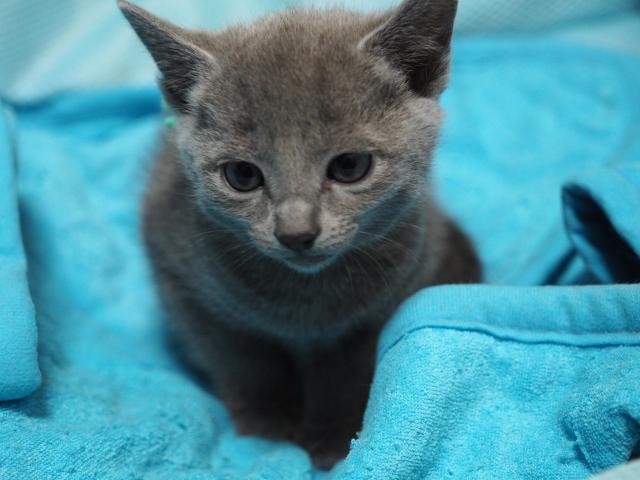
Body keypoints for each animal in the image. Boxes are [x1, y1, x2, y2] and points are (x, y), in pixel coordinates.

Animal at [118, 0, 480, 469]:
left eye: (349, 166)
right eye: (242, 175)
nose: (295, 232)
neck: (305, 308)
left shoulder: (383, 307)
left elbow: (347, 376)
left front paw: (333, 438)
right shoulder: (182, 282)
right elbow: (243, 362)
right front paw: (268, 428)